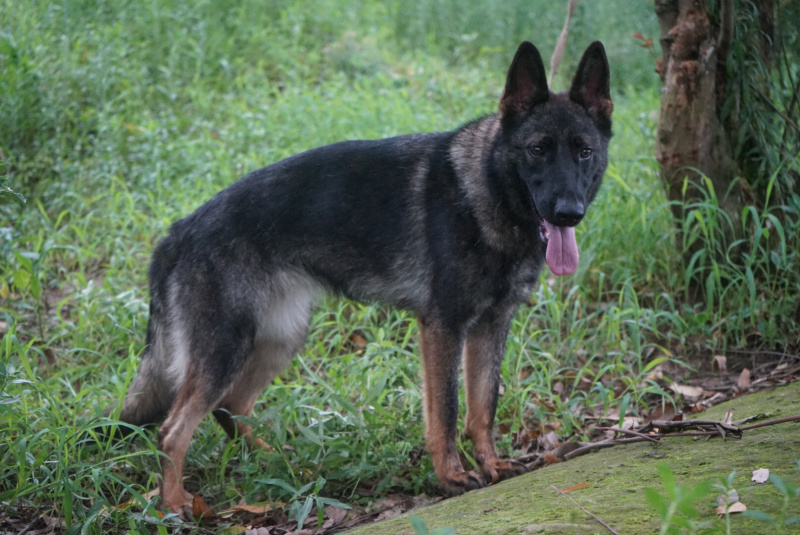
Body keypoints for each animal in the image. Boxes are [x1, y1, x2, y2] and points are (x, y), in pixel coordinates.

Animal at [111, 38, 612, 516]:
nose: (569, 212)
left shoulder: (491, 326)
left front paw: (491, 464)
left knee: (230, 408)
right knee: (174, 428)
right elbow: (447, 412)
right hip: (226, 350)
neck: (487, 191)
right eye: (537, 150)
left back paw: (276, 462)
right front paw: (452, 476)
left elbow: (482, 407)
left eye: (584, 152)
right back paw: (175, 504)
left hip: (277, 339)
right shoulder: (443, 329)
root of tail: (179, 231)